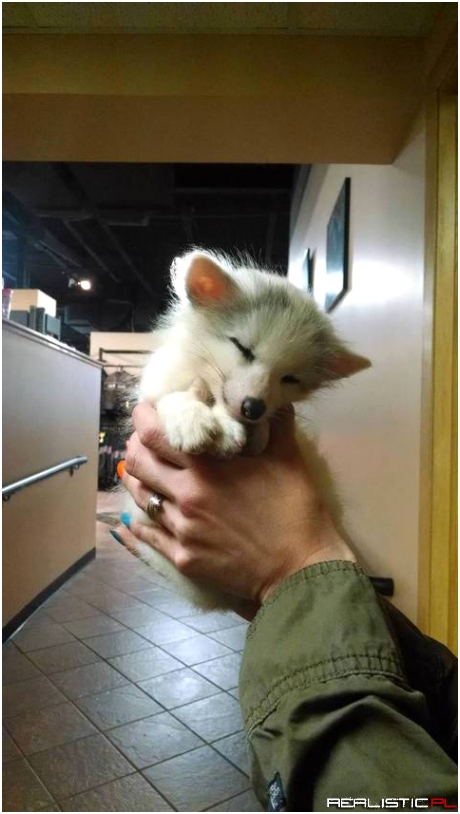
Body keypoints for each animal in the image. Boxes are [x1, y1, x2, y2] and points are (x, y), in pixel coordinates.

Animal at [123, 249, 371, 610]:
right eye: (243, 348)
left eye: (290, 378)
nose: (253, 408)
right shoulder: (154, 392)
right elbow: (173, 397)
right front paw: (191, 419)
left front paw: (236, 429)